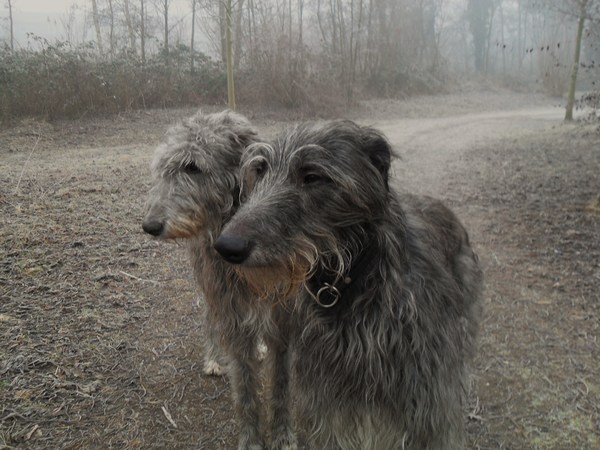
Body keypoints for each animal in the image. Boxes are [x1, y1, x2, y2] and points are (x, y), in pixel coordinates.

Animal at [141, 110, 296, 450]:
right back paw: (213, 357)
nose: (150, 225)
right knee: (210, 318)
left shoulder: (283, 317)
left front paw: (283, 435)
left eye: (193, 166)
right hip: (210, 284)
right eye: (163, 170)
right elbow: (245, 386)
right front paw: (252, 440)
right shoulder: (231, 310)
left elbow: (281, 382)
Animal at [214, 119, 482, 450]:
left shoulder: (429, 406)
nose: (227, 246)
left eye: (312, 176)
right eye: (261, 170)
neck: (354, 285)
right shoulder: (329, 402)